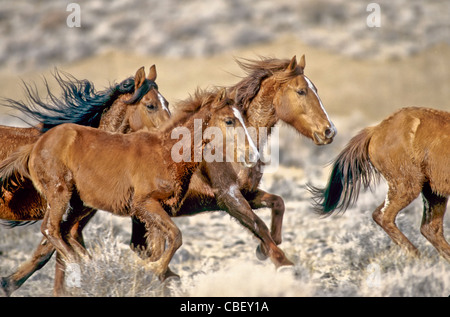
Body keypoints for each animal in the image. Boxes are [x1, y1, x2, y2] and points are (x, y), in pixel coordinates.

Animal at [0, 65, 171, 296]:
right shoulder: (70, 213)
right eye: (151, 105)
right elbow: (51, 250)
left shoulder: (78, 217)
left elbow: (58, 253)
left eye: (167, 103)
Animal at [0, 90, 260, 280]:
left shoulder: (159, 210)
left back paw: (91, 265)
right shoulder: (144, 204)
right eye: (229, 120)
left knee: (64, 232)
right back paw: (80, 267)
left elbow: (161, 244)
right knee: (50, 229)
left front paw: (154, 270)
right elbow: (176, 236)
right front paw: (153, 269)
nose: (254, 155)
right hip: (60, 195)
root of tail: (35, 146)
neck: (165, 154)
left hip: (78, 203)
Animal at [132, 55, 336, 262]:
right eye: (301, 91)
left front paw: (264, 248)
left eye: (315, 89)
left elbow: (278, 204)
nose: (329, 131)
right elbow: (261, 227)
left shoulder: (247, 193)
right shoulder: (228, 196)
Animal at [310, 106, 450, 260]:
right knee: (385, 216)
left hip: (432, 192)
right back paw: (417, 256)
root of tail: (376, 130)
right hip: (408, 186)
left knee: (430, 229)